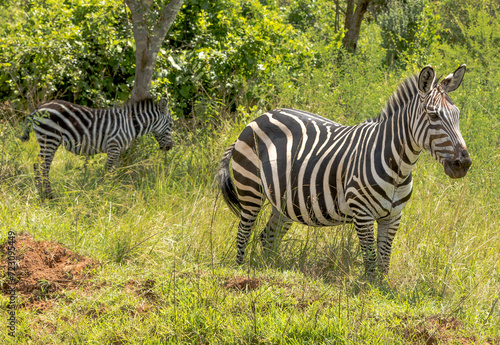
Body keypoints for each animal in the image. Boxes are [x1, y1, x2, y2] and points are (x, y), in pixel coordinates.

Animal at [20, 98, 174, 198]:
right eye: (171, 125)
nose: (170, 147)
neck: (130, 124)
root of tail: (38, 108)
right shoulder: (113, 146)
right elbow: (109, 171)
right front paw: (104, 191)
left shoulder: (117, 150)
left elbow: (114, 170)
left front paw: (111, 189)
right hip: (50, 137)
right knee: (42, 165)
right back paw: (48, 194)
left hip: (49, 140)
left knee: (38, 164)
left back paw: (41, 192)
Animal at [217, 65, 470, 276]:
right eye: (434, 115)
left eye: (458, 115)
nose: (464, 163)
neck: (399, 168)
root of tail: (257, 118)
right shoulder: (362, 213)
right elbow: (370, 260)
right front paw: (369, 292)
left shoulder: (393, 216)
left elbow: (384, 260)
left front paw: (383, 288)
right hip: (250, 189)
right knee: (243, 233)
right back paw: (240, 270)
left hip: (285, 201)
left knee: (268, 237)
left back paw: (268, 270)